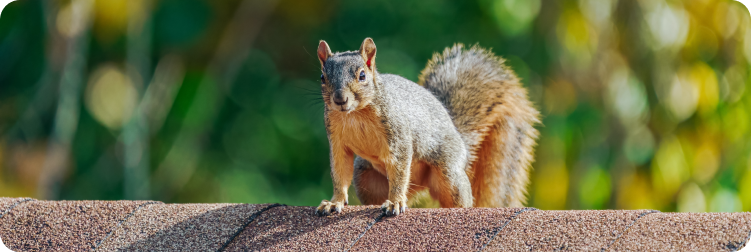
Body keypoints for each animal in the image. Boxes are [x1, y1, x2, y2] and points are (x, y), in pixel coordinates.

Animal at [316, 37, 540, 217]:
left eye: (362, 76)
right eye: (322, 77)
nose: (340, 100)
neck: (355, 114)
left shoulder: (398, 134)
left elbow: (399, 168)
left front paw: (395, 203)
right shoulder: (337, 141)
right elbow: (339, 172)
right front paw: (334, 202)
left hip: (449, 173)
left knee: (457, 196)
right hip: (366, 179)